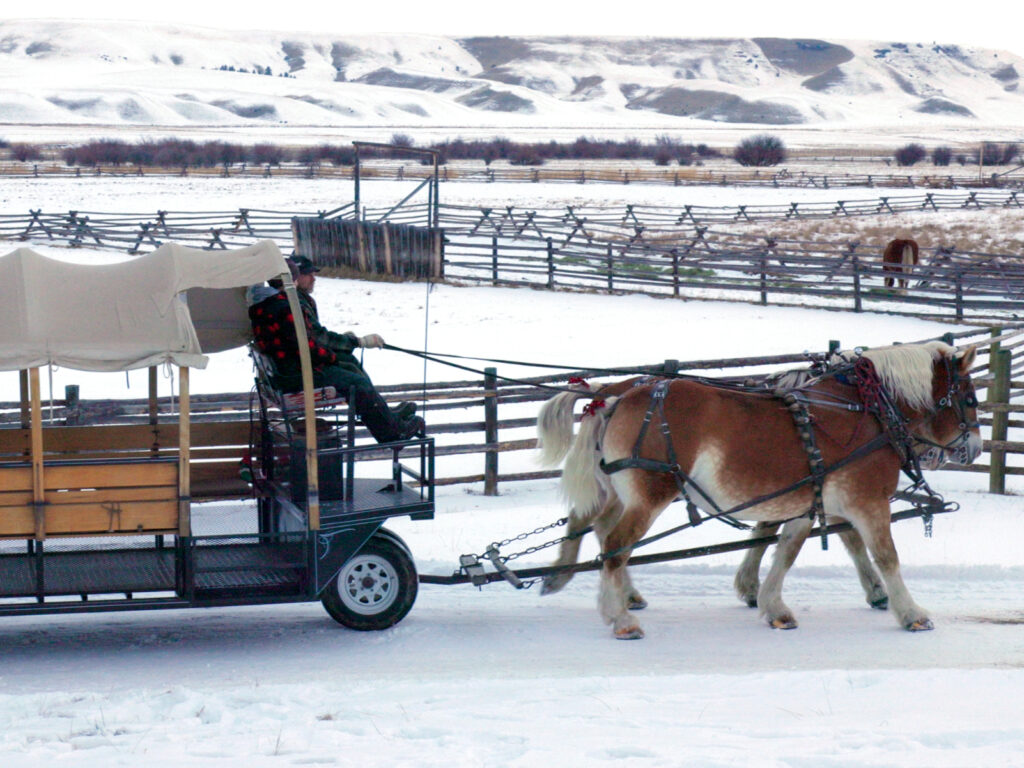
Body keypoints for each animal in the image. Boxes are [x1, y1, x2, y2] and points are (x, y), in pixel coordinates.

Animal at [536, 342, 980, 639]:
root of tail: (614, 397)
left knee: (598, 528)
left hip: (620, 491)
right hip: (650, 493)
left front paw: (772, 604)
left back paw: (581, 582)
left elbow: (784, 551)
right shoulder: (867, 502)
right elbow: (886, 557)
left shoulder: (806, 501)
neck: (868, 411)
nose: (974, 448)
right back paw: (621, 617)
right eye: (971, 398)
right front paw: (910, 612)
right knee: (615, 545)